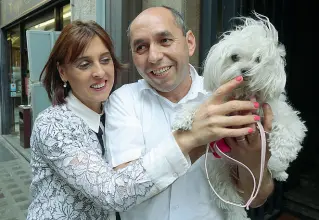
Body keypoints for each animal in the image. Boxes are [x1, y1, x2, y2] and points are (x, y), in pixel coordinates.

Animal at [174, 12, 308, 220]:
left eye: (258, 59)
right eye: (234, 57)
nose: (245, 70)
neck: (244, 95)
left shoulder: (284, 116)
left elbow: (288, 133)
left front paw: (281, 155)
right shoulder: (219, 105)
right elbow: (198, 106)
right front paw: (183, 118)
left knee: (272, 168)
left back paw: (280, 170)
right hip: (220, 174)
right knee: (231, 203)